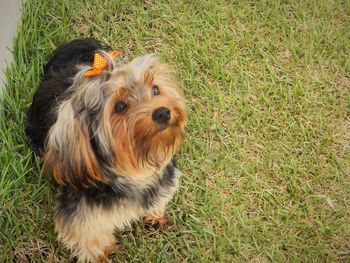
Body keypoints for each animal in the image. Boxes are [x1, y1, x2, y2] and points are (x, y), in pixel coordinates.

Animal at [25, 38, 187, 262]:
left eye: (155, 90)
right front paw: (101, 254)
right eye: (120, 106)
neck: (136, 169)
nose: (163, 112)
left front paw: (156, 215)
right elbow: (88, 238)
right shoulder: (79, 214)